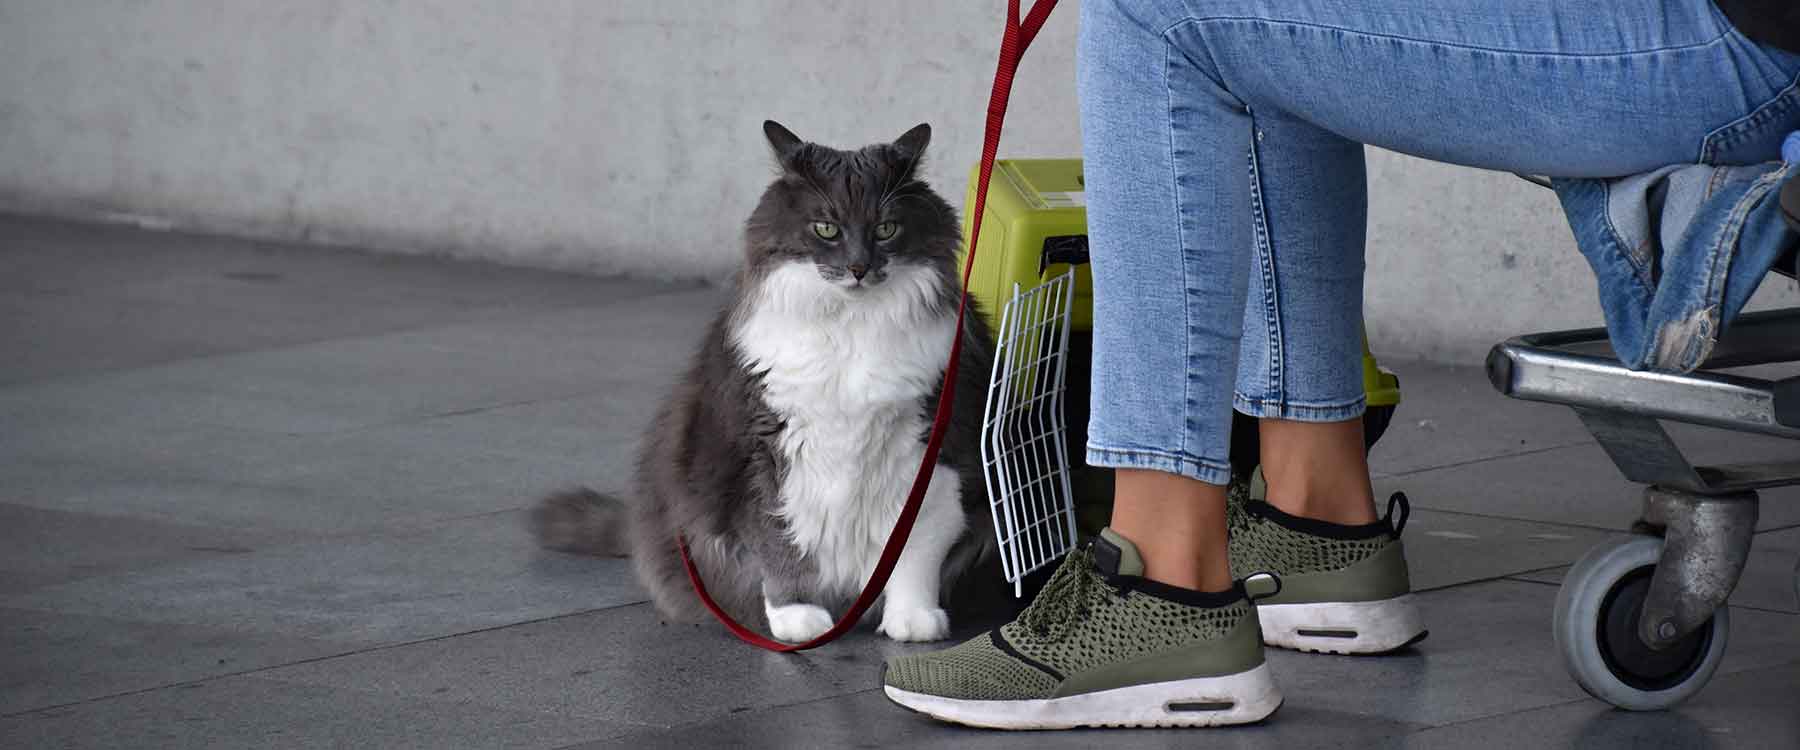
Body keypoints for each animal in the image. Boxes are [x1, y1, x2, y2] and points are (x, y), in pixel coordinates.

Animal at [540, 119, 1008, 640]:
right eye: (826, 228)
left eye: (886, 229)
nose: (859, 268)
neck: (852, 326)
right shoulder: (759, 456)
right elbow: (778, 542)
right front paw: (796, 618)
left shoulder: (938, 449)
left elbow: (915, 548)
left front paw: (913, 621)